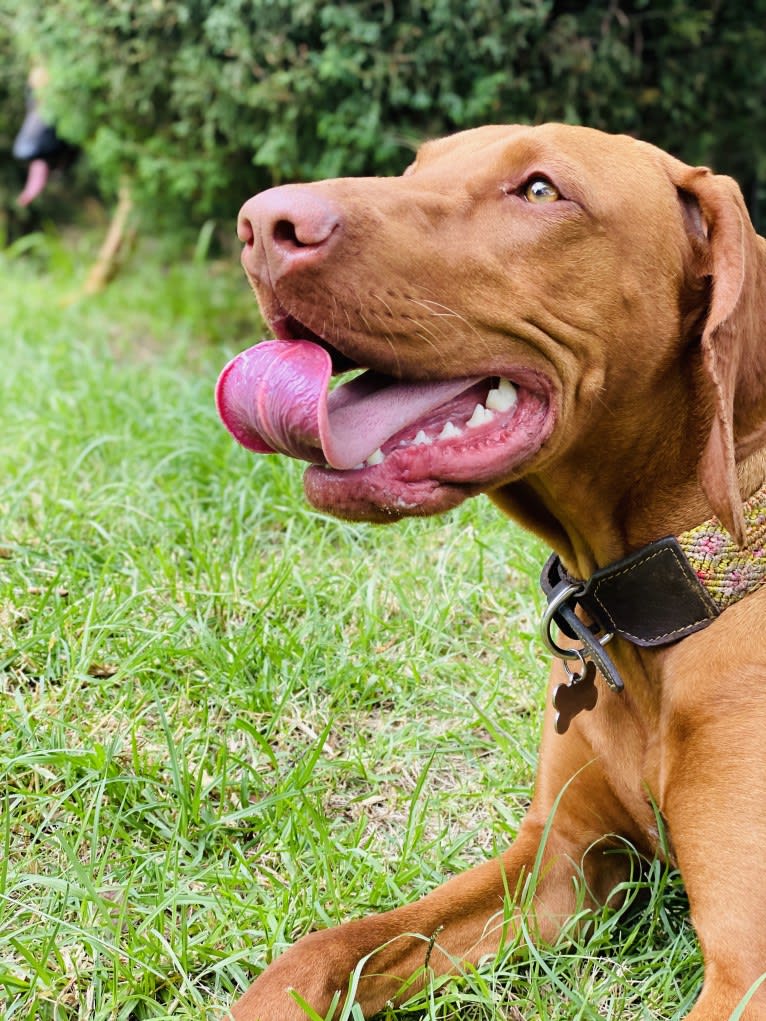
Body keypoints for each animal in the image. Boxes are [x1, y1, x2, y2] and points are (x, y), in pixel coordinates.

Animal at [214, 123, 766, 1016]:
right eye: (416, 167)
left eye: (540, 191)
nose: (262, 224)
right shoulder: (555, 862)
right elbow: (323, 949)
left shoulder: (748, 967)